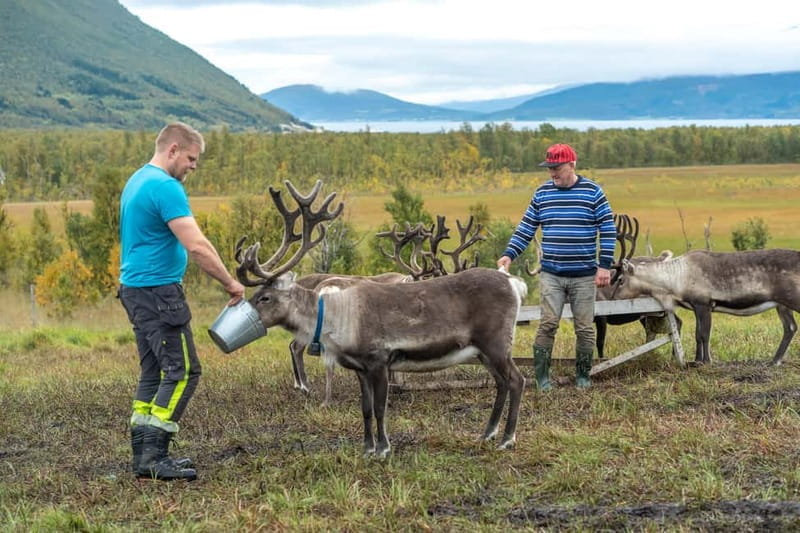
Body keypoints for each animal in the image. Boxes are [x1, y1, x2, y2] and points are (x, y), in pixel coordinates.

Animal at [237, 180, 528, 457]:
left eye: (264, 297)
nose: (239, 311)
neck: (336, 315)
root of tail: (514, 282)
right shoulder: (360, 367)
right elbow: (365, 408)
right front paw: (367, 449)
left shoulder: (379, 359)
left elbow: (379, 408)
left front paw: (384, 449)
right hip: (482, 351)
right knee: (501, 383)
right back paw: (487, 433)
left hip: (495, 342)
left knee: (516, 380)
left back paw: (507, 439)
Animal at [619, 248, 800, 365]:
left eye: (620, 279)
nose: (615, 297)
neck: (676, 279)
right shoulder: (695, 306)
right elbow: (697, 334)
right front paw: (696, 360)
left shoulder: (704, 304)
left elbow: (704, 334)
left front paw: (707, 361)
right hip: (781, 304)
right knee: (790, 327)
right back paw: (775, 361)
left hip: (791, 299)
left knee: (791, 327)